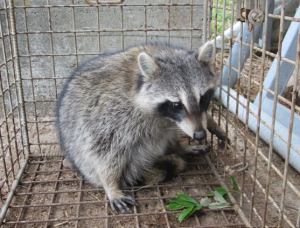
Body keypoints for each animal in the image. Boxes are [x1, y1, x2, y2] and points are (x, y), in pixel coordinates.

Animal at [55, 41, 225, 214]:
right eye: (177, 105)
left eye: (203, 99)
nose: (199, 134)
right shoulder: (111, 113)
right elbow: (103, 149)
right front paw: (111, 185)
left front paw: (211, 121)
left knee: (168, 136)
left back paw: (178, 148)